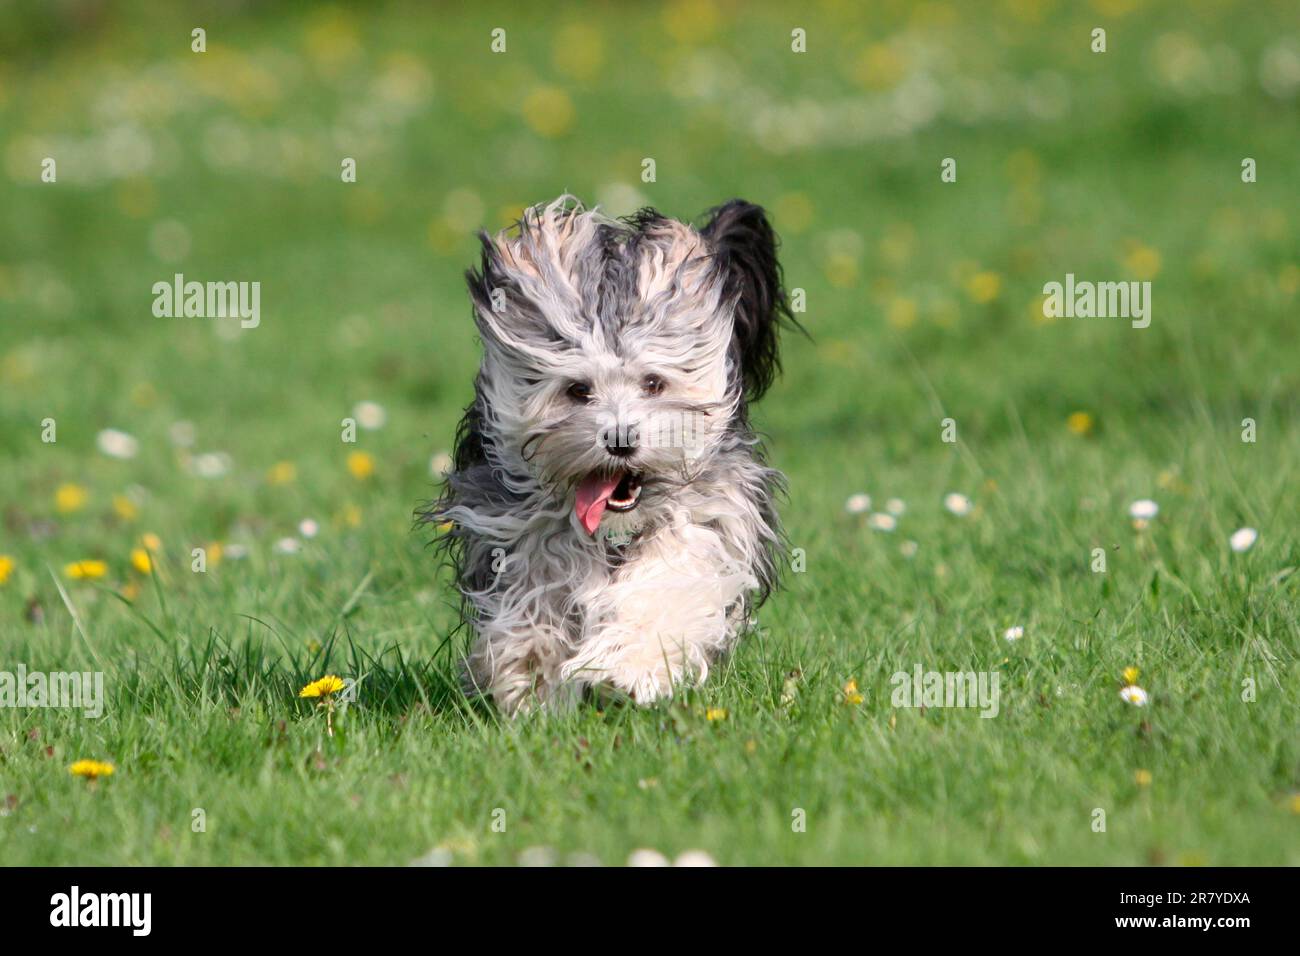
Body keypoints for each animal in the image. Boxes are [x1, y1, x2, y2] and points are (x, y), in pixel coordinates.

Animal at [431, 195, 785, 712]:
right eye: (578, 390)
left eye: (653, 383)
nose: (620, 439)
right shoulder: (512, 524)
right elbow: (535, 591)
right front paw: (529, 673)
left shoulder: (704, 517)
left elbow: (665, 585)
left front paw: (630, 669)